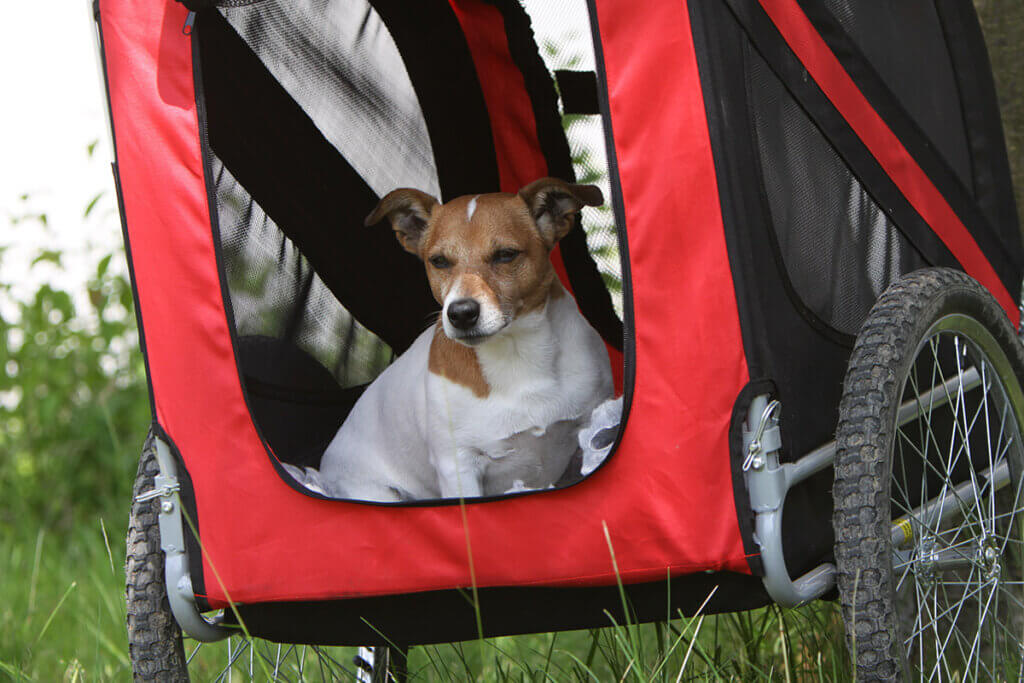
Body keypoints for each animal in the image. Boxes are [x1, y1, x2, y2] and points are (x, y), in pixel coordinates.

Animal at [307, 178, 610, 501]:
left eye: (506, 254)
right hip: (380, 493)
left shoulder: (593, 428)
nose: (461, 314)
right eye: (439, 261)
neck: (517, 354)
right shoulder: (458, 467)